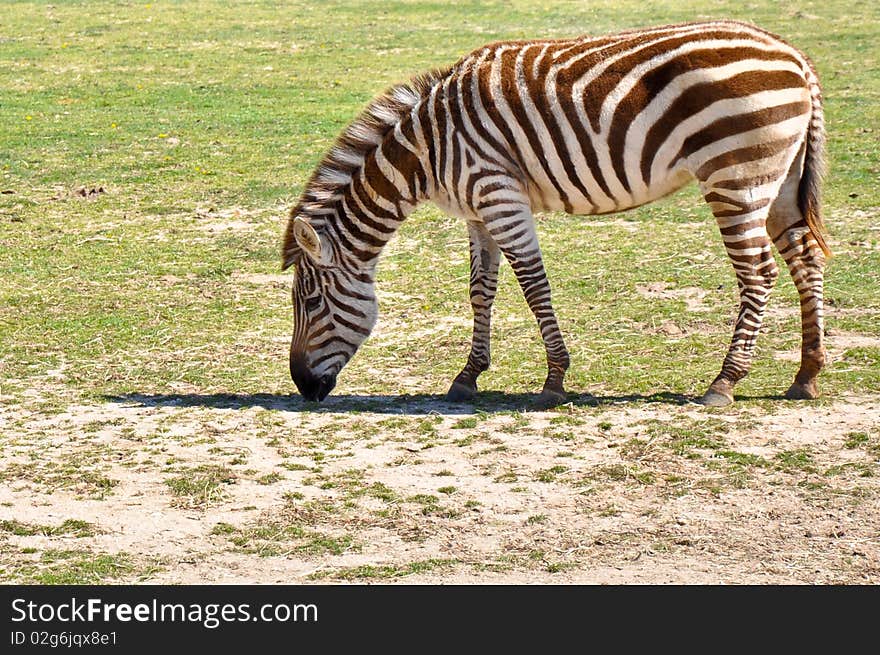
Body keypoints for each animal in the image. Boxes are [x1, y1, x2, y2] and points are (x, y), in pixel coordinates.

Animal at [284, 19, 832, 404]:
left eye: (309, 302)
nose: (303, 388)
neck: (429, 149)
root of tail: (796, 56)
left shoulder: (499, 193)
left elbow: (532, 284)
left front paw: (554, 378)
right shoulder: (478, 211)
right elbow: (480, 291)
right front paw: (468, 376)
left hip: (734, 176)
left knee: (758, 272)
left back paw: (725, 382)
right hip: (779, 178)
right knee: (805, 259)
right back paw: (806, 375)